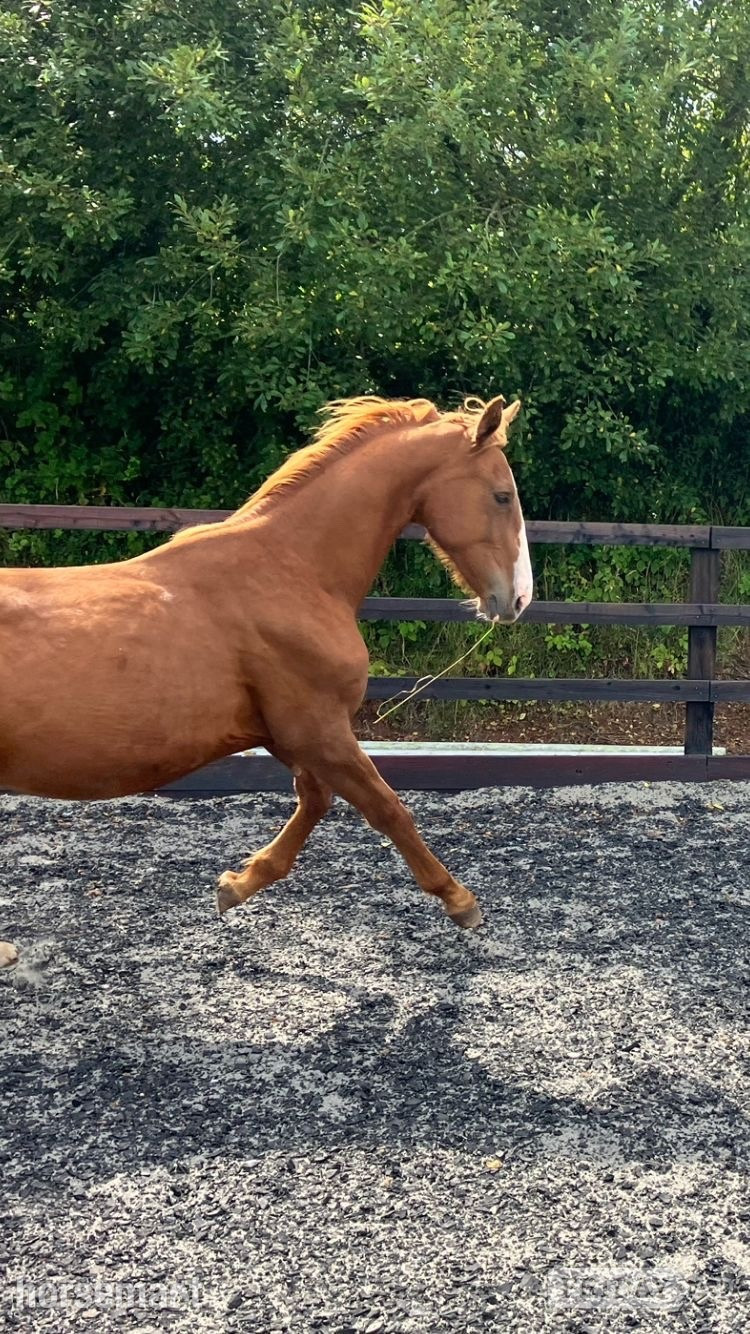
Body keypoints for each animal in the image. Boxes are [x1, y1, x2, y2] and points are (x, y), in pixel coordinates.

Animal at [0, 393, 531, 966]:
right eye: (502, 496)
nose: (519, 598)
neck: (293, 572)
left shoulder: (287, 734)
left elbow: (316, 801)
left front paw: (235, 885)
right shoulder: (319, 729)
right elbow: (388, 808)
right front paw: (460, 901)